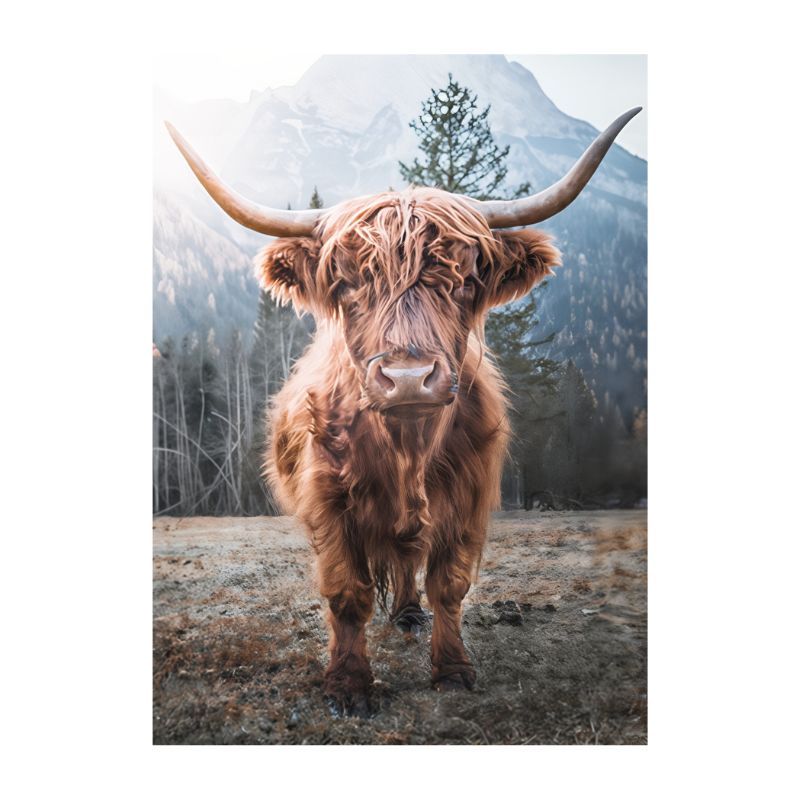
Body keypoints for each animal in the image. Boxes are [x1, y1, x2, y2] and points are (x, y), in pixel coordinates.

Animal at [166, 107, 640, 716]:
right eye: (346, 282)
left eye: (466, 280)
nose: (408, 378)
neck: (406, 449)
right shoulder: (328, 499)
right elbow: (348, 592)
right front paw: (348, 685)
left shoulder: (468, 495)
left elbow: (449, 584)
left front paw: (453, 670)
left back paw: (411, 613)